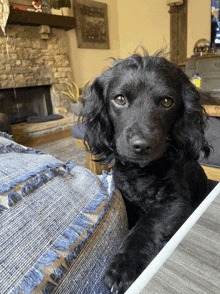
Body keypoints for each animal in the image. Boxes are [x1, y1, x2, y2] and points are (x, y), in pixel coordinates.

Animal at [81, 53, 211, 294]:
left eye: (167, 102)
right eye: (119, 99)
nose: (142, 145)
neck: (140, 172)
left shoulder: (176, 202)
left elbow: (146, 224)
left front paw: (123, 267)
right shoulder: (125, 197)